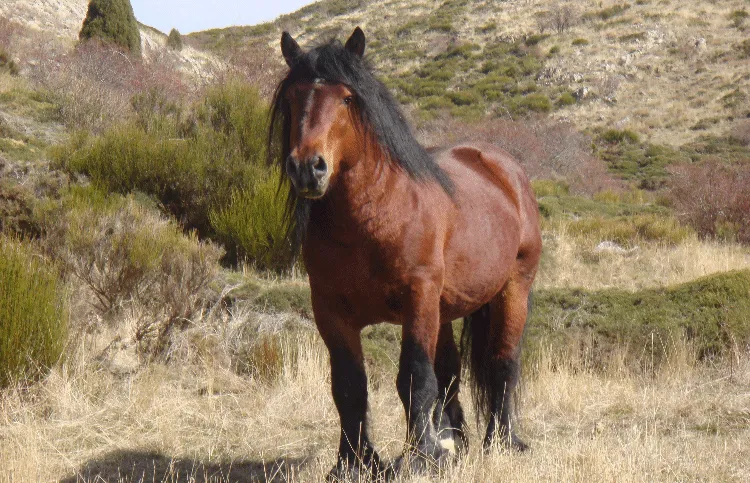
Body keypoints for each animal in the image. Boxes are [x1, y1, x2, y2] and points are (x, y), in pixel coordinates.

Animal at [268, 27, 544, 483]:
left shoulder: (418, 300)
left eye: (347, 98)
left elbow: (415, 377)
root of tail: (503, 167)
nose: (308, 168)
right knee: (451, 372)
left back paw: (503, 442)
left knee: (503, 363)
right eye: (293, 97)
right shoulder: (330, 310)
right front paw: (355, 462)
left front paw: (418, 458)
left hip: (511, 290)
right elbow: (349, 385)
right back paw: (455, 442)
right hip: (445, 309)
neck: (376, 215)